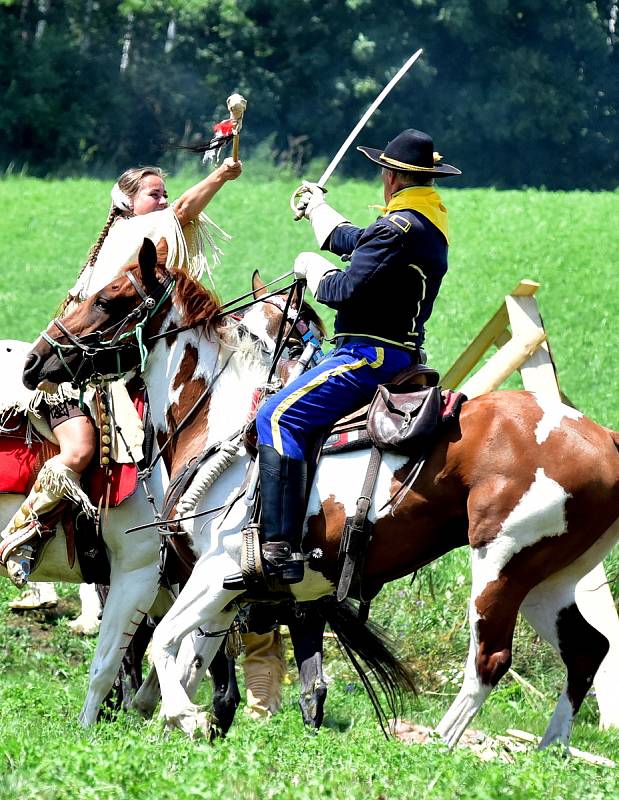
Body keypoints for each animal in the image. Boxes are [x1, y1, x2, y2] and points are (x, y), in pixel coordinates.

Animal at [21, 241, 616, 748]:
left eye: (109, 299)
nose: (33, 363)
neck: (222, 418)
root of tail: (602, 437)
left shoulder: (215, 570)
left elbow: (166, 642)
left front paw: (183, 717)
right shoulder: (226, 589)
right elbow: (191, 657)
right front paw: (178, 722)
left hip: (501, 568)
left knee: (488, 661)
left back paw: (441, 744)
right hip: (548, 580)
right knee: (588, 649)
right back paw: (552, 749)